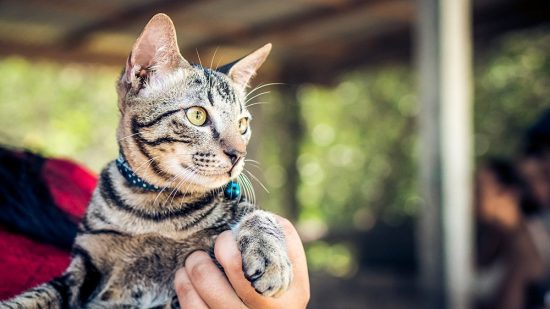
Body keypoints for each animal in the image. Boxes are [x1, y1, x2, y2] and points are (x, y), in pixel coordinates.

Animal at [1, 13, 294, 306]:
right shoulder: (83, 266)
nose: (238, 154)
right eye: (197, 115)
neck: (152, 211)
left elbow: (258, 214)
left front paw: (271, 256)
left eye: (242, 124)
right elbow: (33, 297)